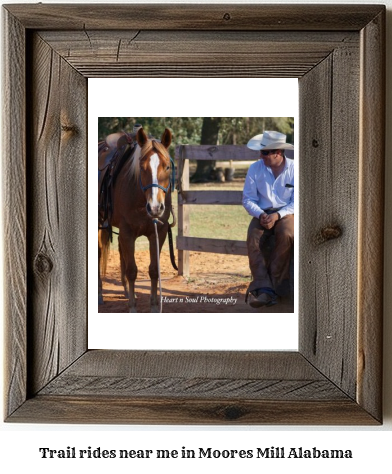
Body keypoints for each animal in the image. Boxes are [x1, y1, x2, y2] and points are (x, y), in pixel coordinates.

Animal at [99, 127, 175, 312]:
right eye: (142, 167)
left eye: (167, 166)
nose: (155, 207)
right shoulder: (127, 233)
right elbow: (132, 270)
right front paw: (133, 307)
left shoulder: (159, 232)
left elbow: (154, 270)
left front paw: (154, 306)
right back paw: (100, 295)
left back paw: (126, 291)